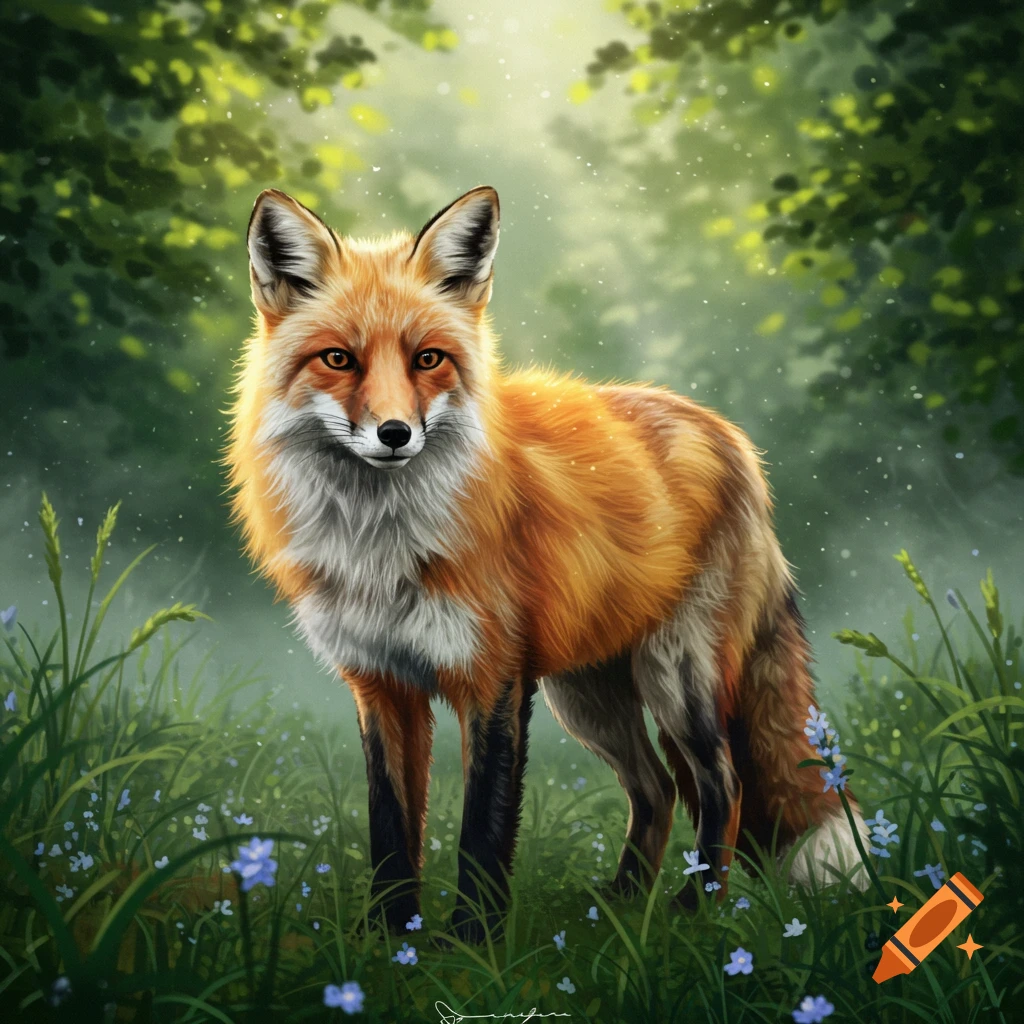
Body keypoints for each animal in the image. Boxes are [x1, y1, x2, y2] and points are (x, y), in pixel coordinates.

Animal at [226, 184, 868, 940]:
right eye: (338, 359)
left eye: (427, 360)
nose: (395, 434)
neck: (382, 543)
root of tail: (728, 434)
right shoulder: (381, 682)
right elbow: (391, 826)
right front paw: (390, 936)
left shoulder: (494, 678)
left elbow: (482, 828)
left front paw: (470, 941)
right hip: (589, 695)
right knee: (658, 788)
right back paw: (622, 903)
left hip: (676, 677)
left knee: (724, 784)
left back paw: (694, 909)